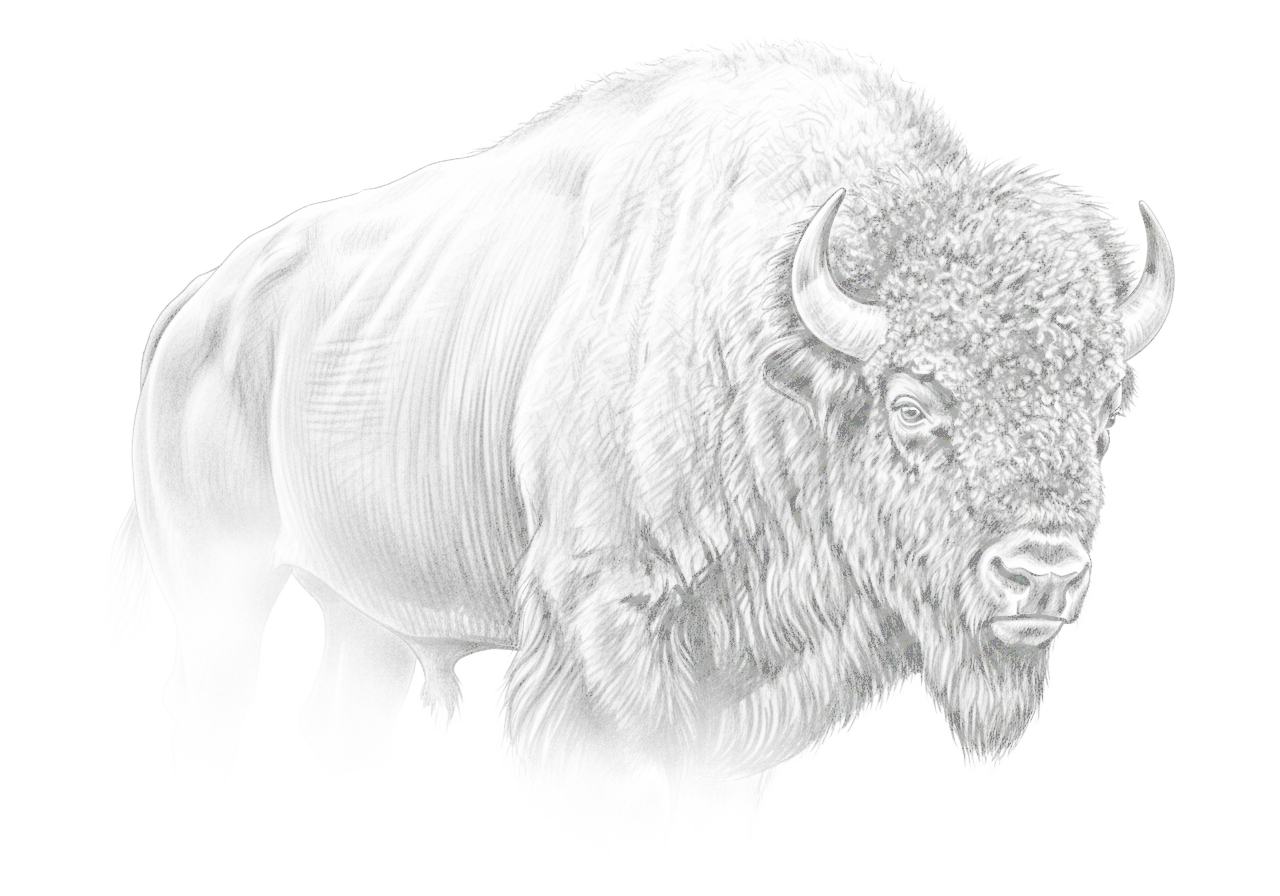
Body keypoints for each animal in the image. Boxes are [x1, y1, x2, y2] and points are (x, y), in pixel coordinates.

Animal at [113, 42, 1174, 802]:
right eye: (912, 403)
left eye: (1105, 413)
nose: (1043, 573)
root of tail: (197, 310)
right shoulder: (594, 640)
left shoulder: (741, 710)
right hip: (221, 597)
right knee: (205, 713)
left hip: (362, 623)